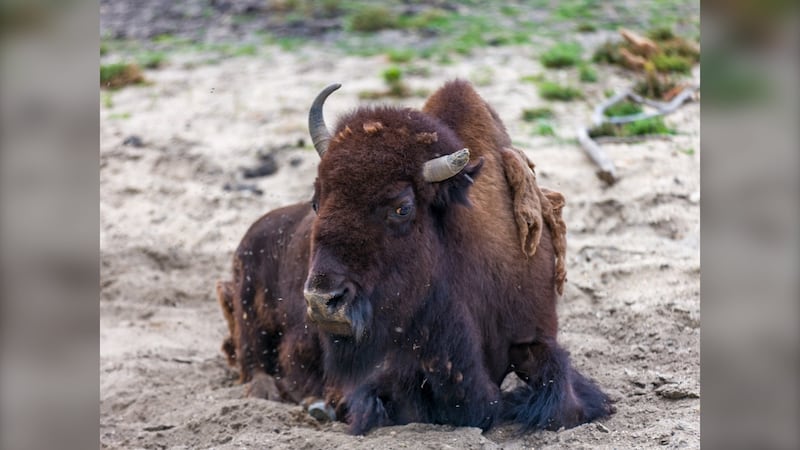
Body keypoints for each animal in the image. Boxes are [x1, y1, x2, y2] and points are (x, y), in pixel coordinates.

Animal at [217, 80, 613, 434]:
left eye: (402, 207)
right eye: (317, 201)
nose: (323, 302)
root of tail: (255, 233)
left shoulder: (535, 332)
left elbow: (562, 402)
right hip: (250, 314)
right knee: (255, 367)